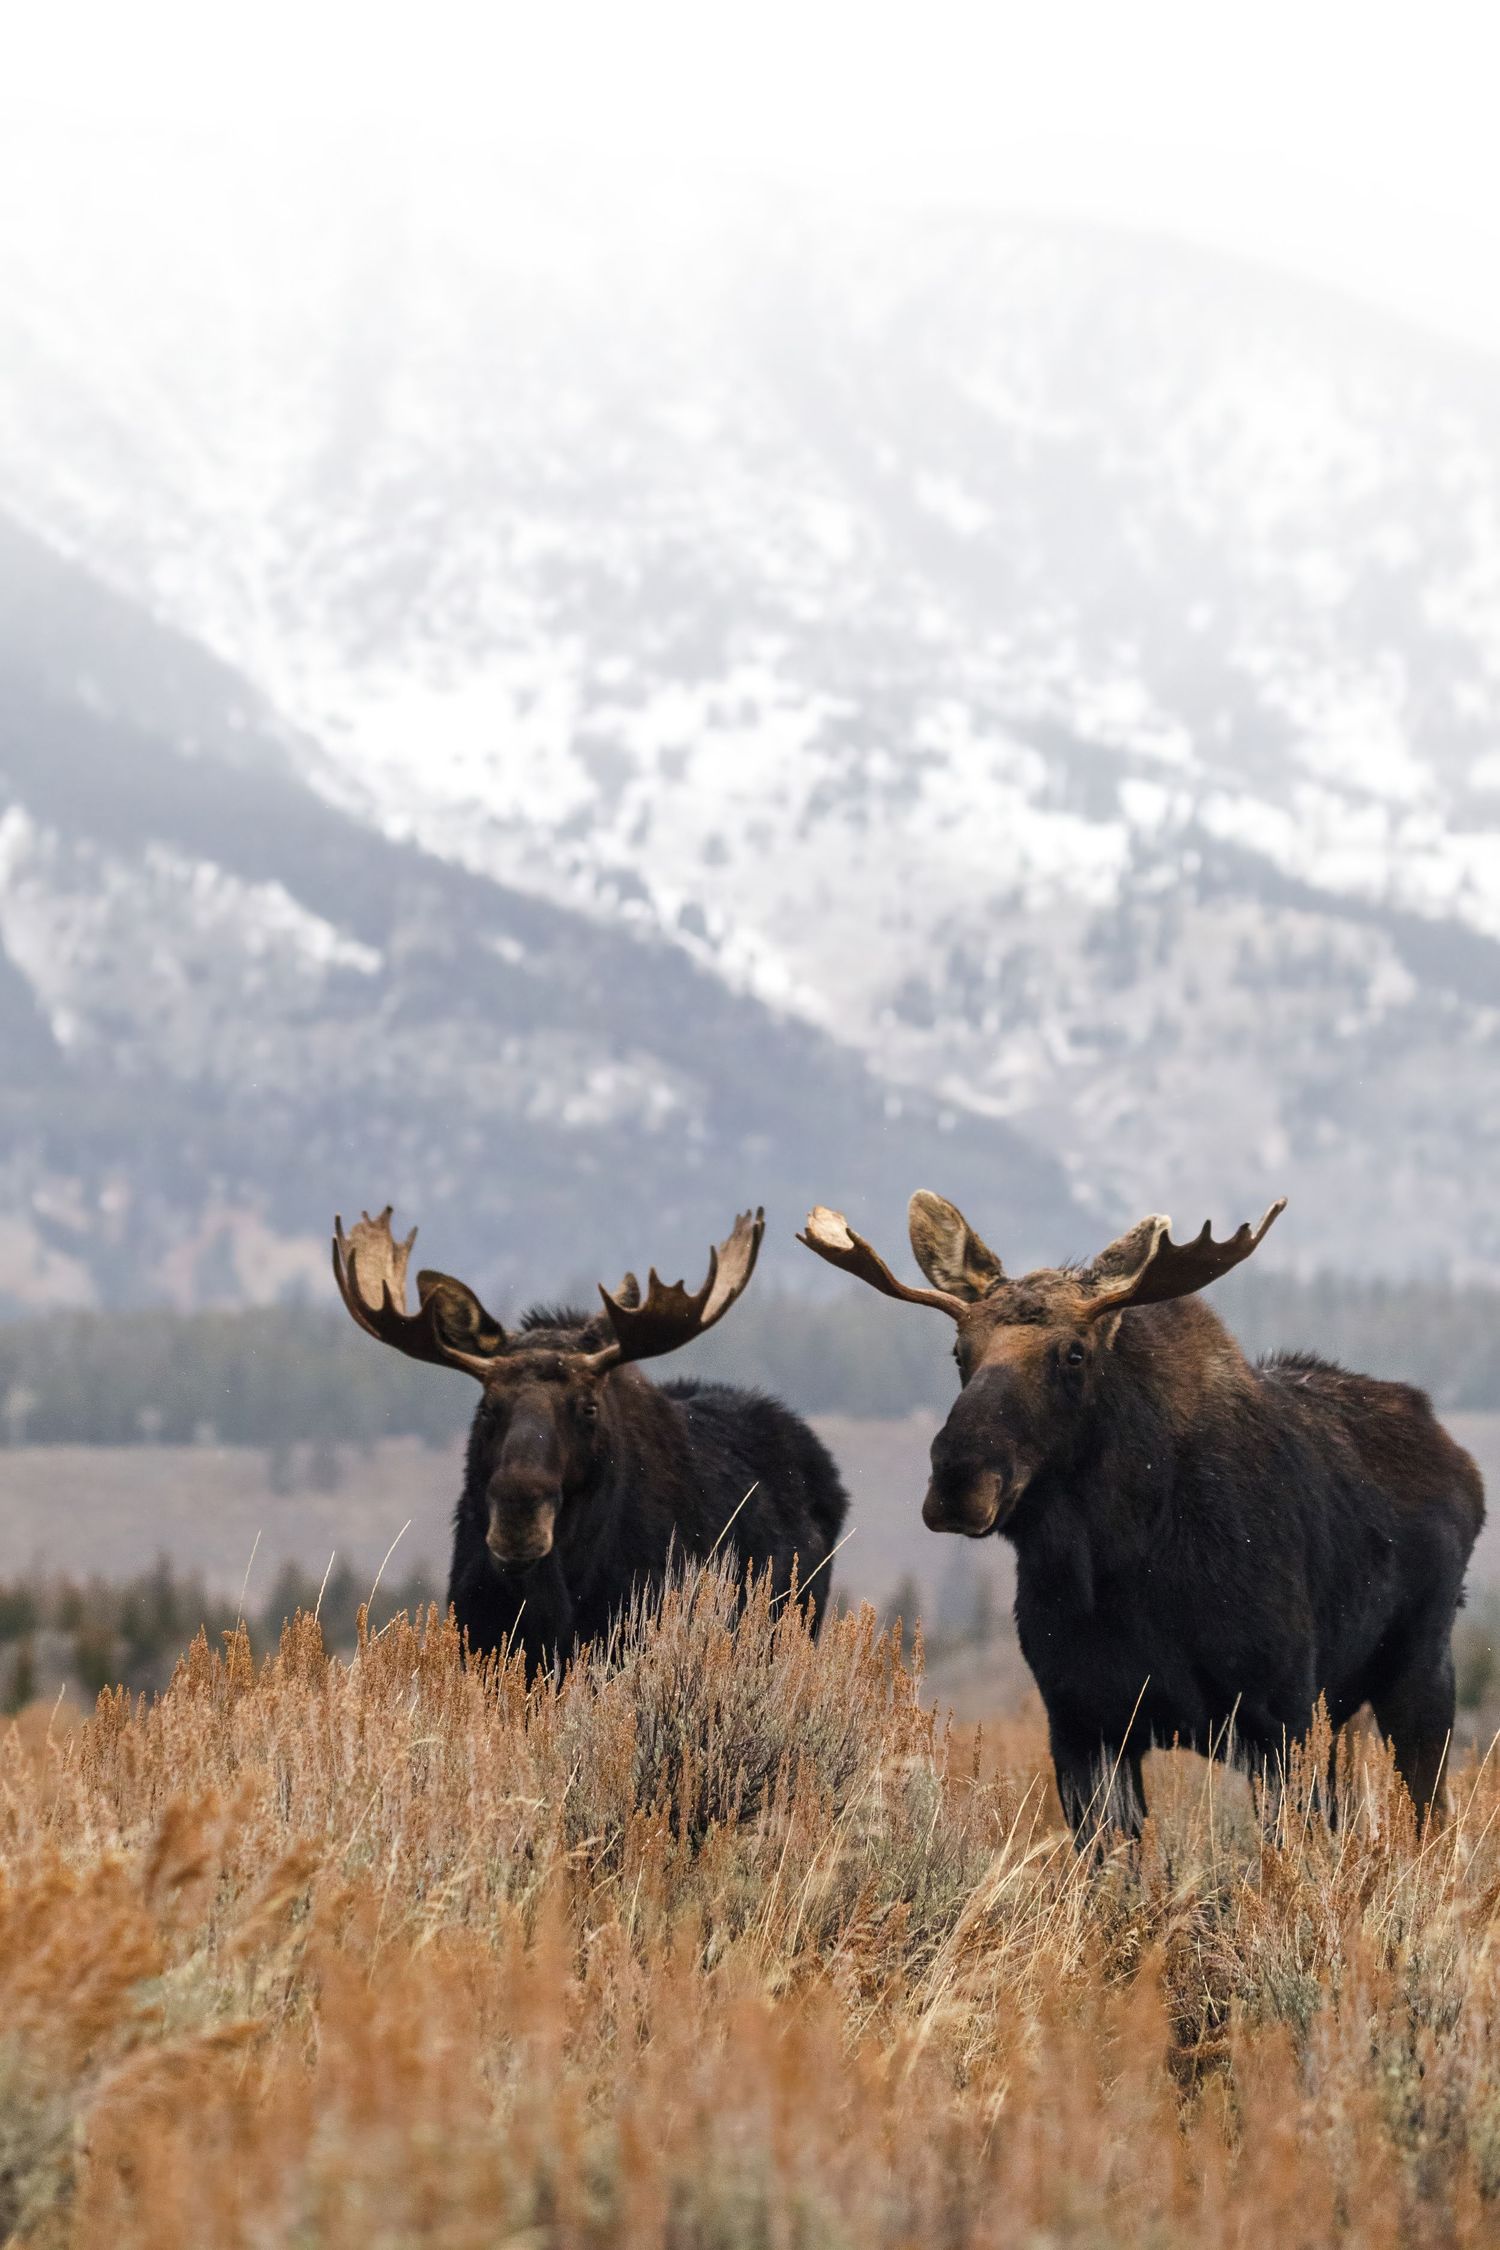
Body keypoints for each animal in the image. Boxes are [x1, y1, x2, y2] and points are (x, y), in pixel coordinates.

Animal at [800, 1192, 1483, 1838]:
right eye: (959, 1351)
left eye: (1074, 1354)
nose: (960, 1481)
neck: (1119, 1558)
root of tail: (1463, 1465)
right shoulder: (1084, 1722)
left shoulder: (1278, 1713)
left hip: (1418, 1674)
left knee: (1430, 1818)